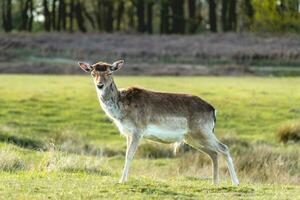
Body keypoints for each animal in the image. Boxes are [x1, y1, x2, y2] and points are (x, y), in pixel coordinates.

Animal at [77, 60, 239, 185]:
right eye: (92, 73)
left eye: (109, 73)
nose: (100, 85)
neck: (121, 109)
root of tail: (213, 110)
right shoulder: (128, 133)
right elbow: (127, 155)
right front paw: (123, 179)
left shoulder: (138, 131)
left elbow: (129, 155)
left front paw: (122, 181)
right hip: (191, 137)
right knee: (213, 153)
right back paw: (215, 182)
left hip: (202, 131)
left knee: (224, 148)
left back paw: (235, 182)